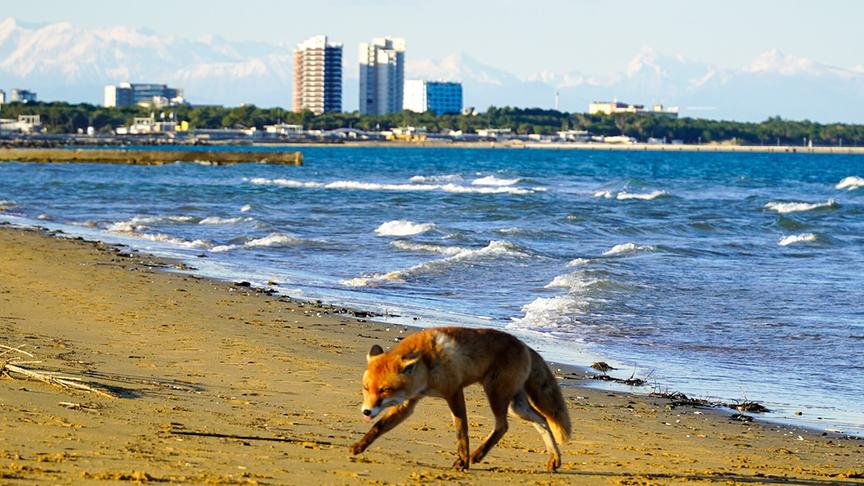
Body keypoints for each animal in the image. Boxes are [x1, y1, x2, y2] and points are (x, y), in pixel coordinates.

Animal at [349, 327, 572, 471]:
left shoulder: (454, 392)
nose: (366, 411)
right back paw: (554, 459)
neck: (427, 368)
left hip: (497, 395)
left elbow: (461, 431)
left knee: (503, 426)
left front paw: (463, 462)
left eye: (385, 390)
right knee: (542, 421)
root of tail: (525, 345)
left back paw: (477, 455)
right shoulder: (408, 402)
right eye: (366, 388)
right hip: (516, 406)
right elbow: (378, 427)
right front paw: (359, 447)